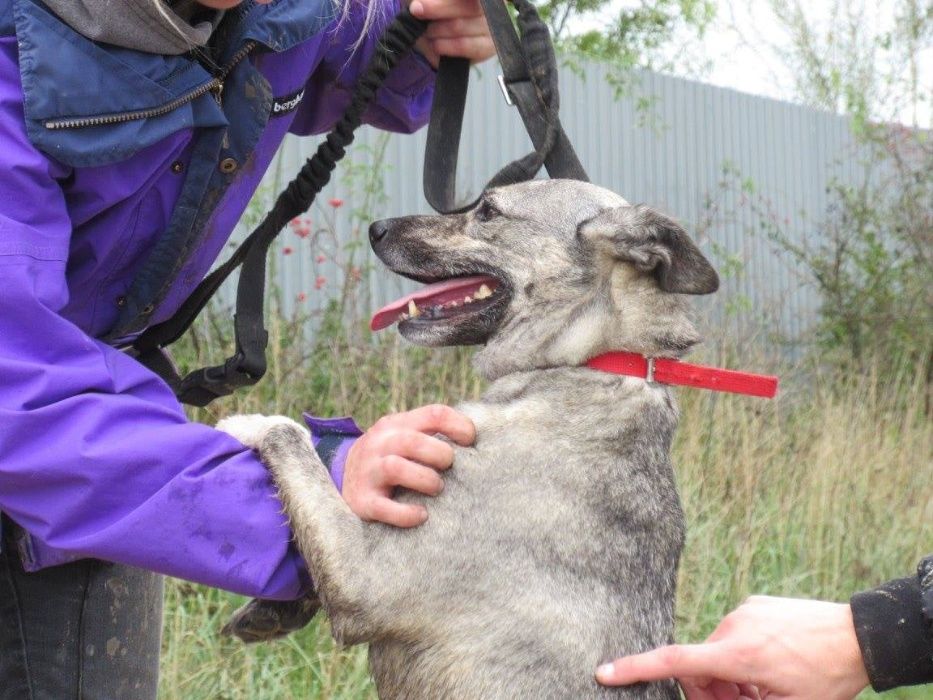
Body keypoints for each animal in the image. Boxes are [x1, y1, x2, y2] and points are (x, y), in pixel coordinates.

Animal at [218, 180, 720, 700]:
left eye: (488, 211)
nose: (376, 229)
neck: (593, 361)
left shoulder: (367, 580)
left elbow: (292, 439)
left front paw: (248, 423)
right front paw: (271, 609)